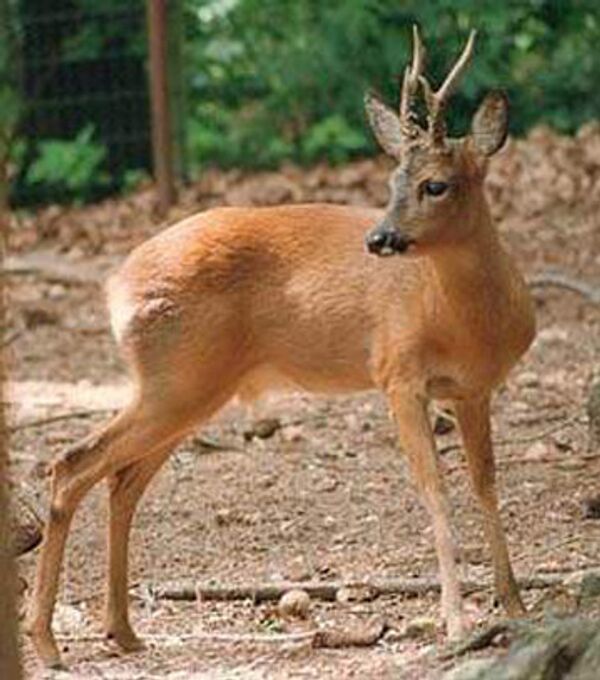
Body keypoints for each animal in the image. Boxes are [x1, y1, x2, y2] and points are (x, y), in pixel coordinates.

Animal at [27, 27, 535, 669]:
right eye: (391, 183)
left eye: (434, 184)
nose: (381, 238)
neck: (465, 322)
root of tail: (116, 284)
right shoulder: (397, 374)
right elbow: (435, 490)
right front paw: (455, 620)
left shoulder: (474, 391)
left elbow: (486, 486)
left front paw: (515, 605)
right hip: (177, 381)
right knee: (73, 464)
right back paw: (47, 641)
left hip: (187, 392)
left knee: (122, 481)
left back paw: (121, 630)